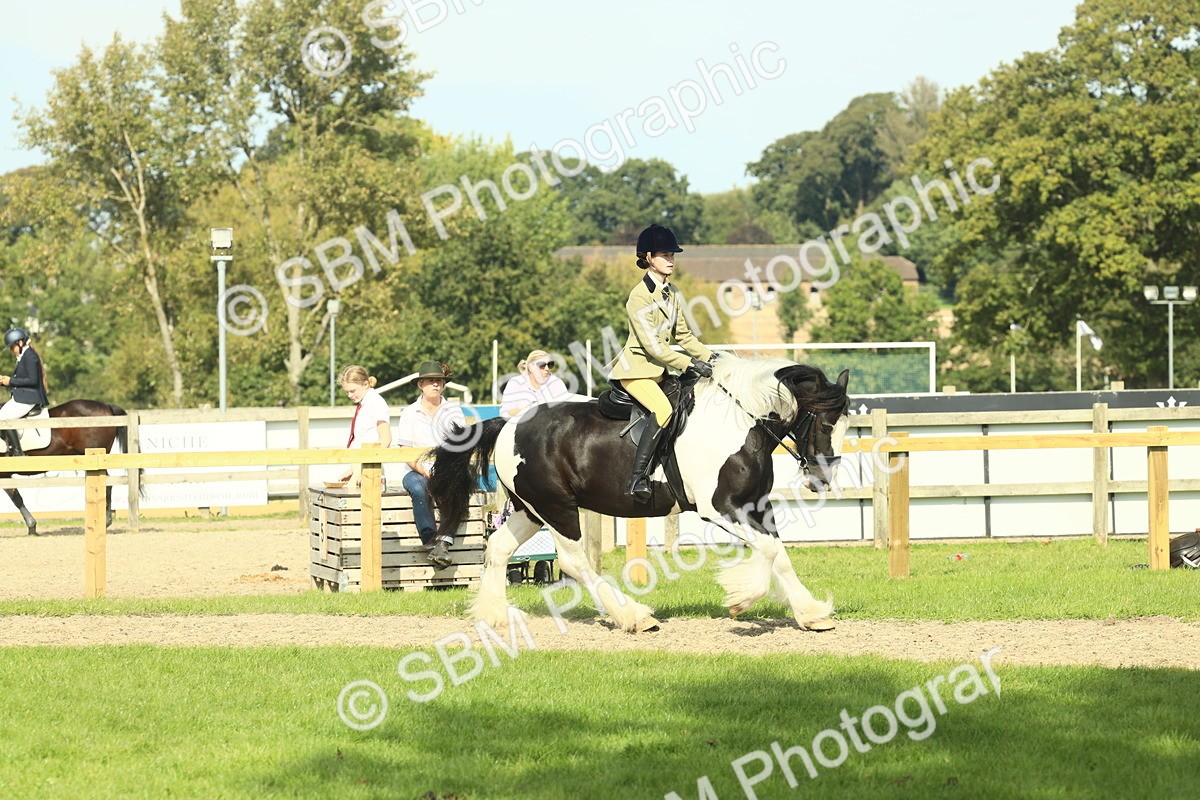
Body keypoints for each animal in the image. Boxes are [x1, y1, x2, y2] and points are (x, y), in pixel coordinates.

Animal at [0, 399, 139, 536]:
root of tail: (106, 406)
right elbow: (16, 497)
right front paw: (32, 527)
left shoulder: (4, 475)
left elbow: (16, 498)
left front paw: (32, 526)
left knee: (106, 485)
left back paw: (104, 522)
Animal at [429, 357, 851, 633]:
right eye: (825, 423)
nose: (823, 478)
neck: (741, 422)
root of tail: (508, 424)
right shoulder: (722, 508)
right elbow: (767, 551)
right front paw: (741, 601)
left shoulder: (755, 507)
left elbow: (778, 554)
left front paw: (810, 613)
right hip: (557, 508)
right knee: (574, 562)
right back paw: (634, 616)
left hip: (530, 510)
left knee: (499, 547)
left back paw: (493, 615)